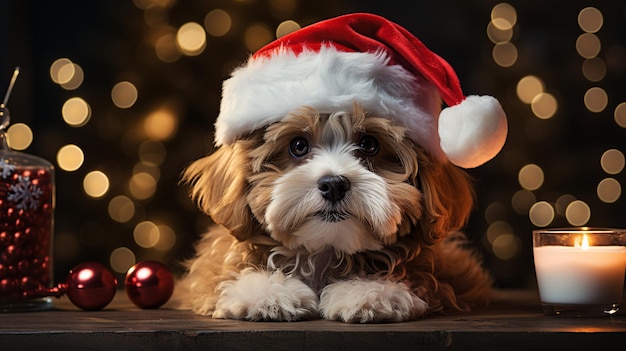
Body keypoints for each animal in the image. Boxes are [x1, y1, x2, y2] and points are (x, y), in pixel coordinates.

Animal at [179, 103, 492, 324]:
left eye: (369, 144)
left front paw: (370, 293)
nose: (333, 184)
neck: (324, 250)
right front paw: (267, 293)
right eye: (298, 145)